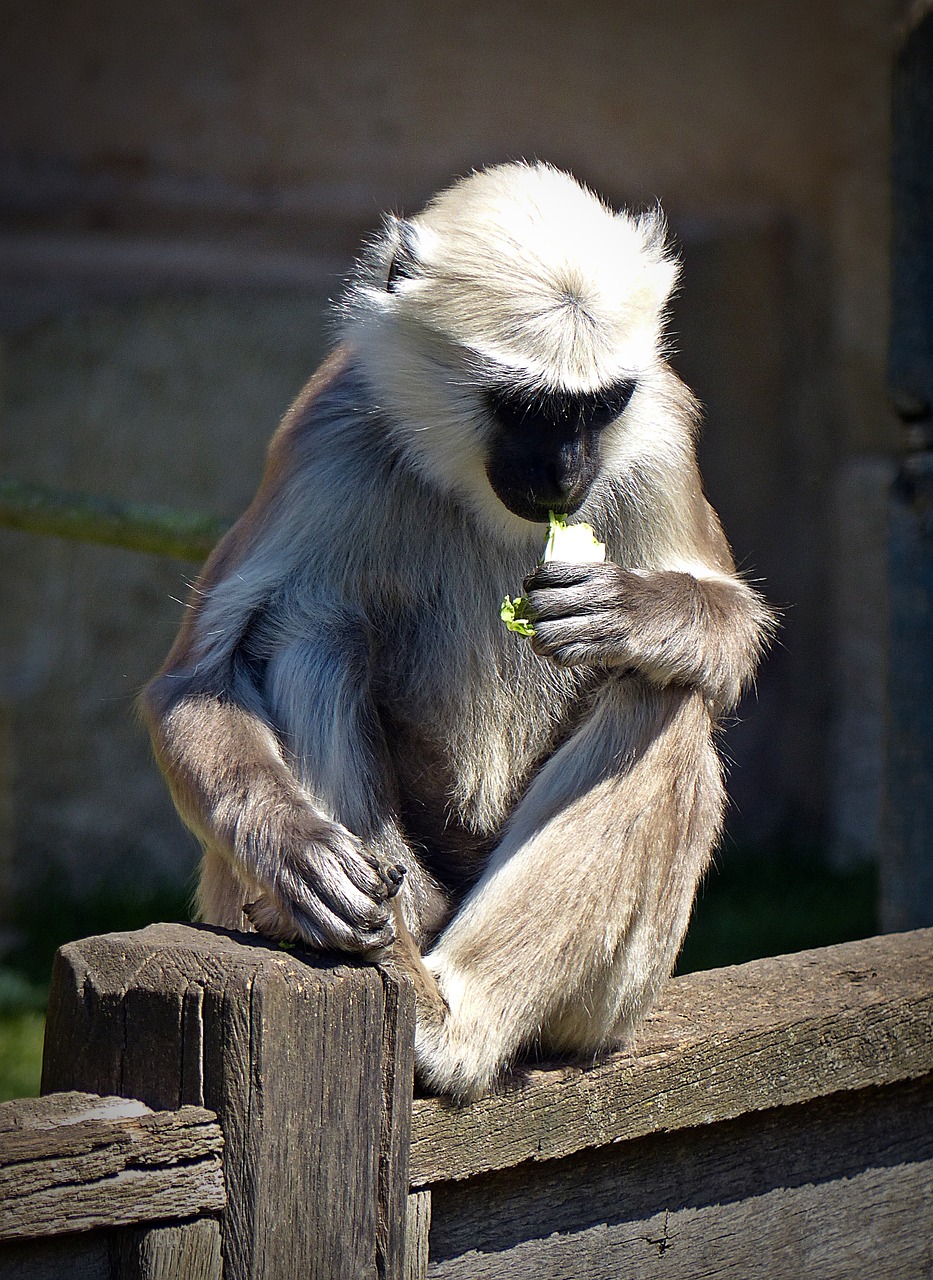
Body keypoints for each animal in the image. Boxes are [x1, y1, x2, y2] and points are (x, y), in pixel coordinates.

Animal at [143, 160, 773, 1100]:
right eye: (524, 408)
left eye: (599, 407)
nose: (565, 474)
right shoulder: (331, 432)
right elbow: (196, 682)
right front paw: (300, 852)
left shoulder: (658, 427)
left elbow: (729, 625)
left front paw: (634, 612)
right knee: (307, 629)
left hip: (611, 1004)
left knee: (660, 696)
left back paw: (452, 1031)